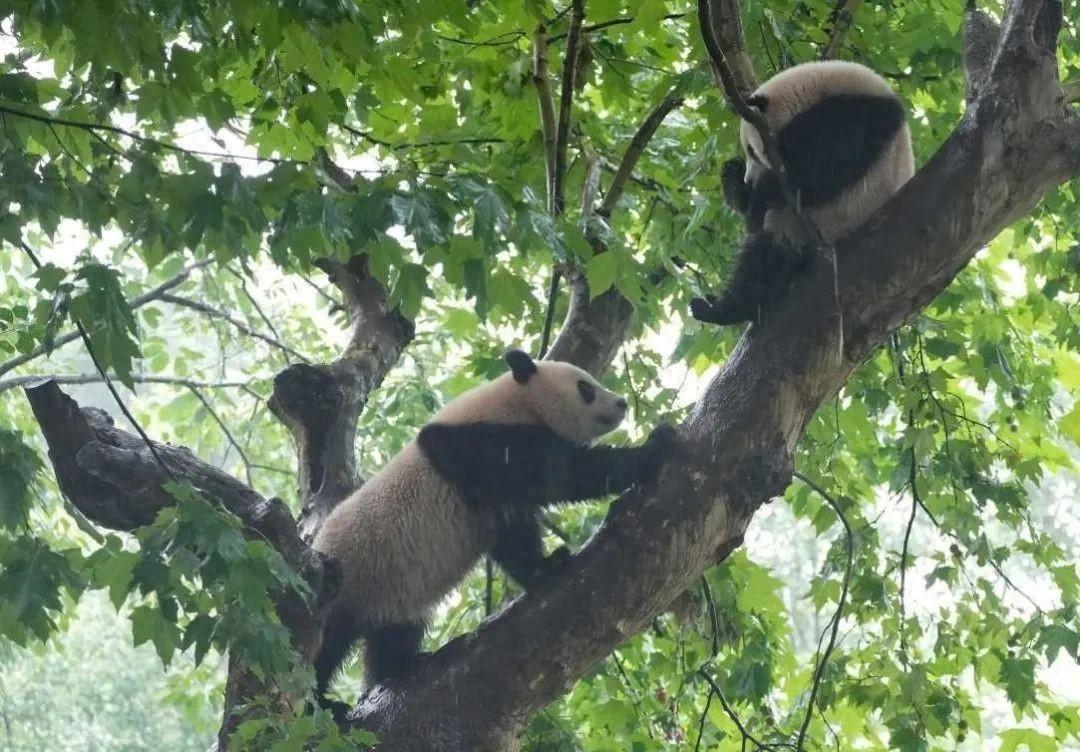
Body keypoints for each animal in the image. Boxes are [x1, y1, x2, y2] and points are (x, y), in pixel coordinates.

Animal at [308, 350, 673, 713]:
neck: (515, 402)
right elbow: (557, 473)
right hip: (346, 578)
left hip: (392, 594)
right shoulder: (475, 446)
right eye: (586, 387)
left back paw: (400, 666)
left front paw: (546, 566)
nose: (621, 403)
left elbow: (514, 533)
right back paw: (324, 704)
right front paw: (653, 448)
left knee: (394, 634)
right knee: (325, 644)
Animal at [691, 61, 911, 326]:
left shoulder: (860, 115)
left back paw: (724, 308)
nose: (749, 180)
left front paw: (759, 195)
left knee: (767, 257)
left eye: (752, 151)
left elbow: (823, 171)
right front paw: (737, 182)